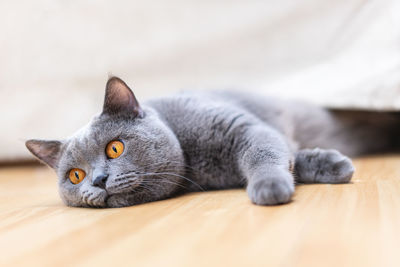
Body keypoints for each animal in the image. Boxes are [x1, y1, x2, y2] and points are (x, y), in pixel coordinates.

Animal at [25, 76, 400, 208]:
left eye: (114, 148)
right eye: (75, 176)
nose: (99, 180)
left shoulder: (245, 129)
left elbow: (265, 154)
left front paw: (269, 186)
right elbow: (288, 153)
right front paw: (333, 165)